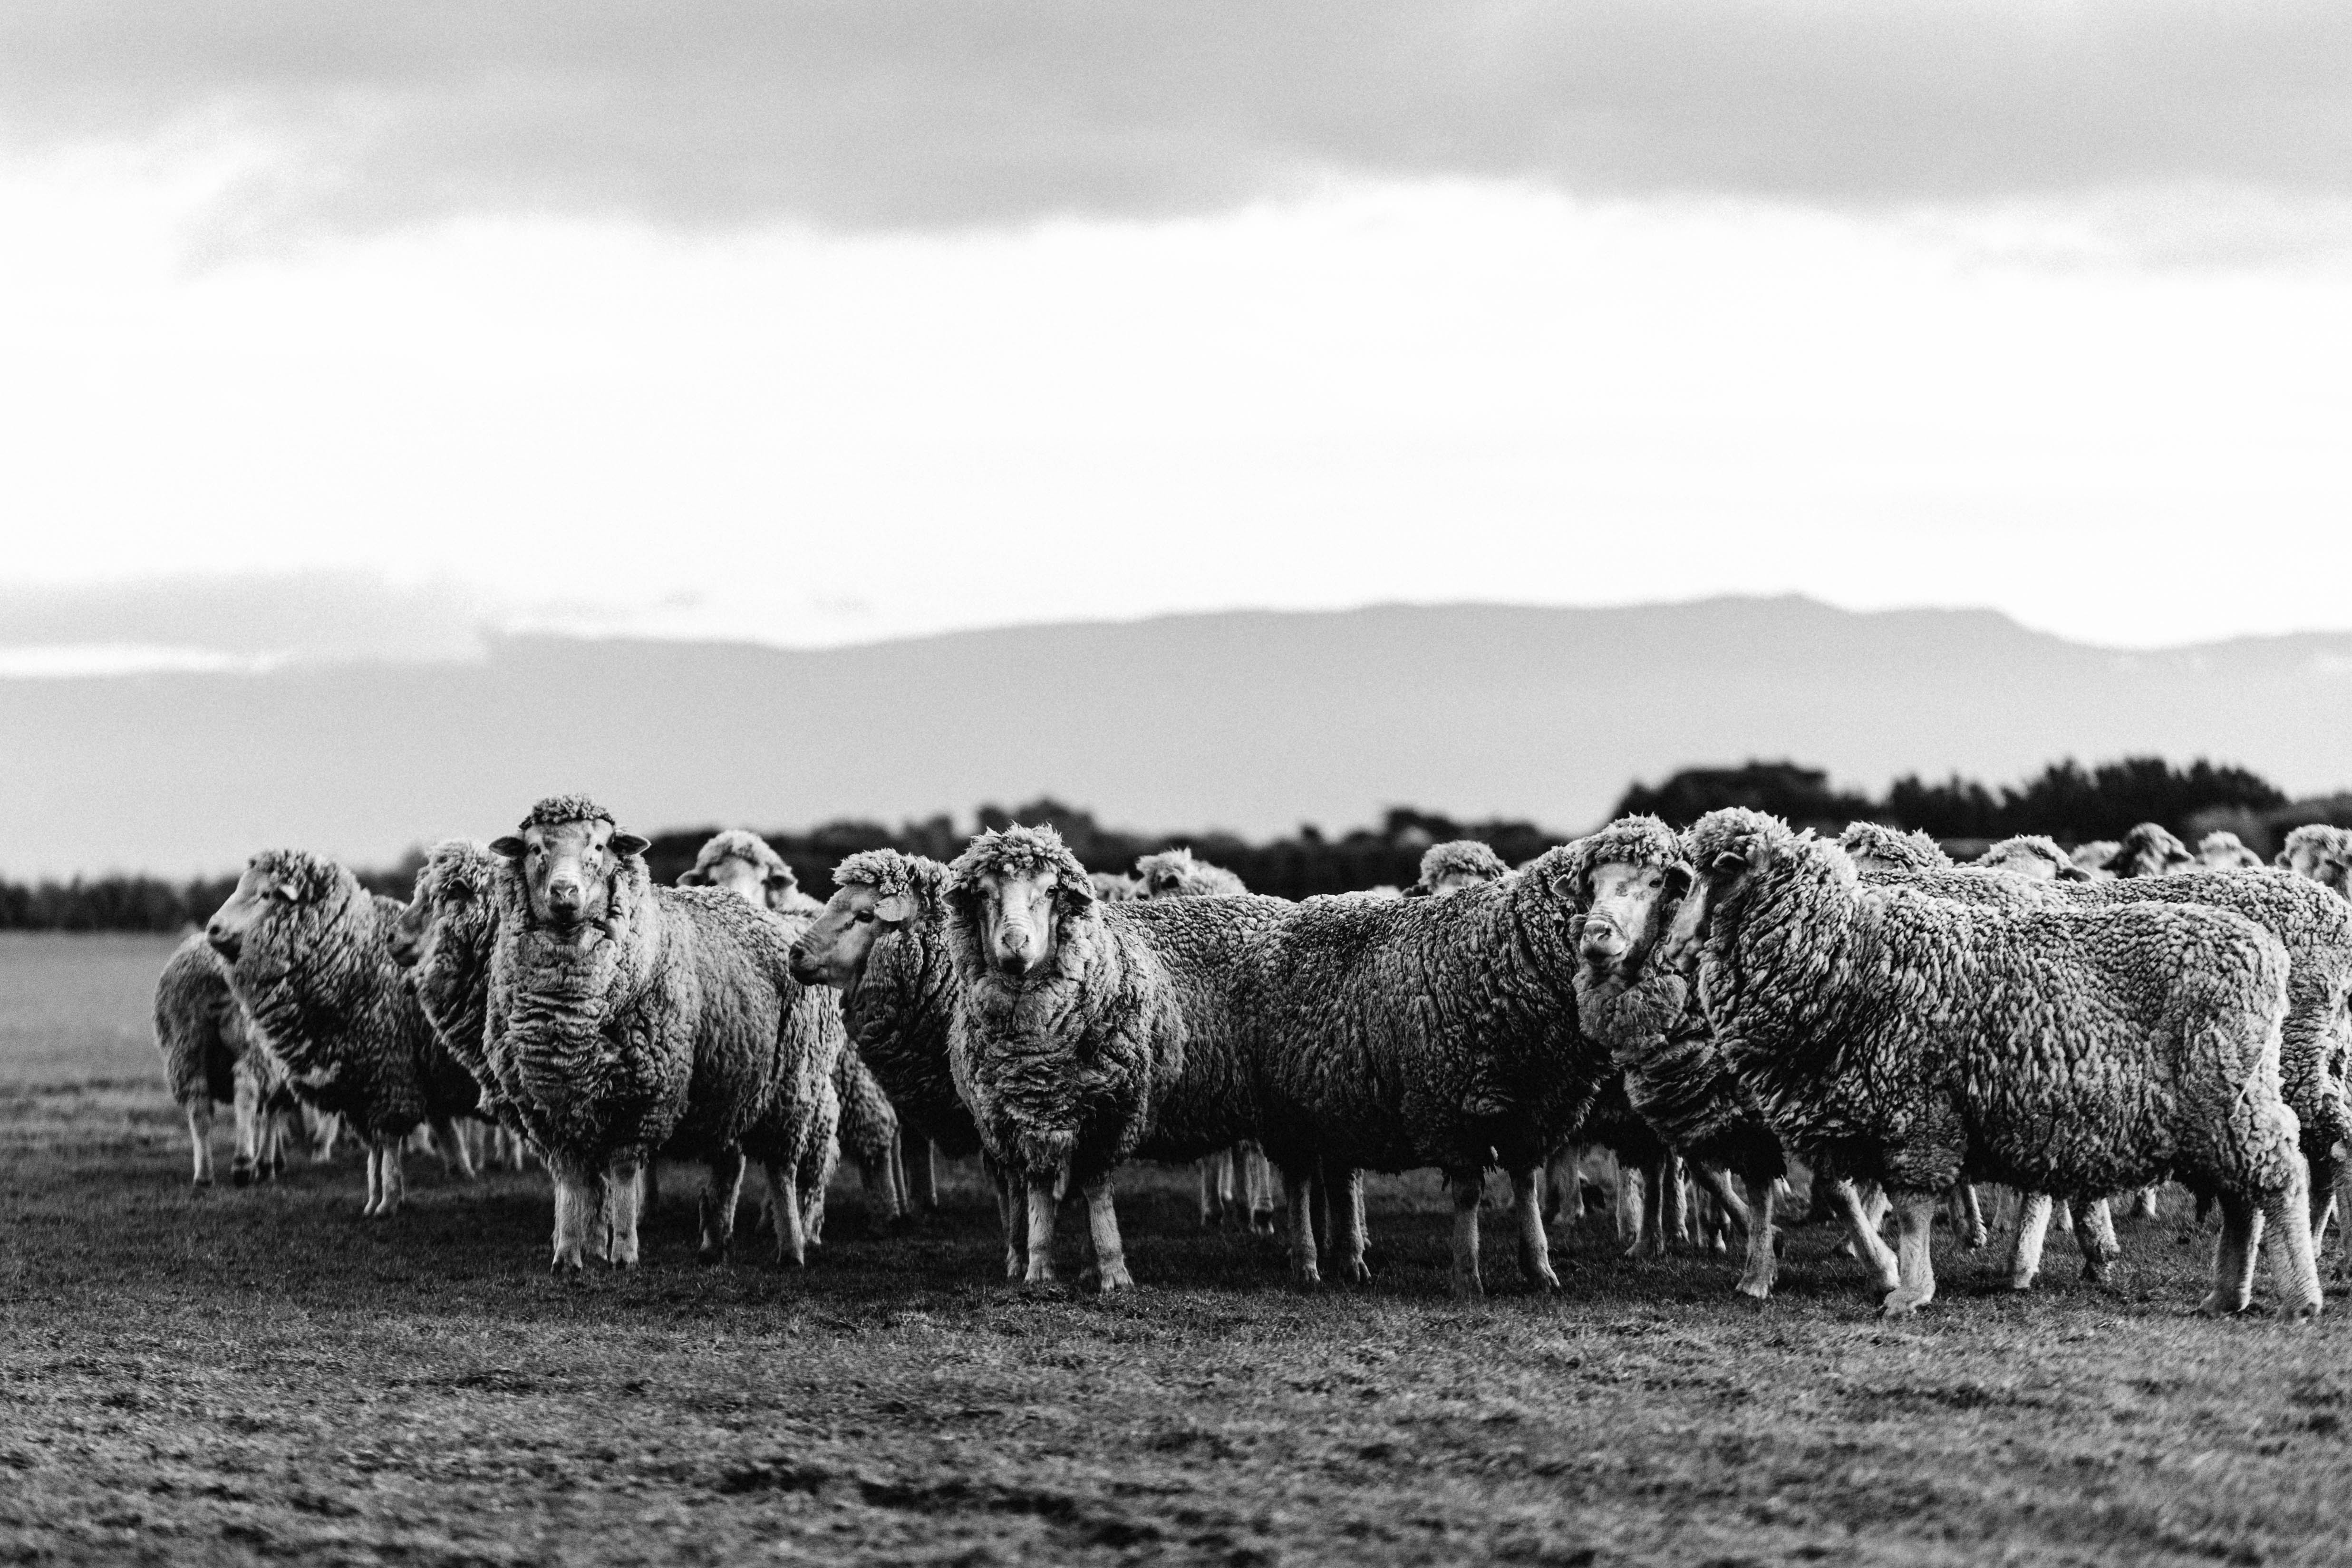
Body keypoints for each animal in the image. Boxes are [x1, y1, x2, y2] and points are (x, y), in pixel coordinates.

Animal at [205, 850, 484, 1215]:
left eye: (266, 894)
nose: (212, 929)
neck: (352, 957)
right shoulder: (359, 1085)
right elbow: (375, 1148)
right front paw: (375, 1200)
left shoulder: (389, 1074)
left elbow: (388, 1142)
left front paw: (389, 1202)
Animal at [483, 795, 841, 1270]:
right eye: (535, 848)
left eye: (599, 846)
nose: (564, 893)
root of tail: (760, 912)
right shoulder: (547, 1107)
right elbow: (571, 1177)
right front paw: (567, 1255)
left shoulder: (644, 1096)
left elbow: (621, 1171)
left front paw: (623, 1251)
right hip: (727, 1084)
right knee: (728, 1161)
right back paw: (714, 1244)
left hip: (790, 1087)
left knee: (781, 1169)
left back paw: (792, 1248)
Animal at [944, 825, 1292, 1292]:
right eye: (982, 893)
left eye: (1051, 890)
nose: (1016, 944)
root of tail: (1264, 900)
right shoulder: (1022, 1117)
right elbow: (1038, 1187)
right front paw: (1040, 1267)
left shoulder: (1109, 1109)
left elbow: (1094, 1188)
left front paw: (1111, 1269)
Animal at [1246, 843, 1620, 1297]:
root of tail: (1308, 906)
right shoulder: (1450, 1110)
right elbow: (1468, 1192)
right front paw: (1467, 1276)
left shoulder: (1533, 1107)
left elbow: (1525, 1183)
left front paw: (1539, 1269)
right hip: (1287, 1111)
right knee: (1299, 1180)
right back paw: (1306, 1262)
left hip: (1340, 1101)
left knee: (1339, 1177)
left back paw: (1350, 1259)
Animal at [1672, 808, 2320, 1318]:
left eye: (1724, 867)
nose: (1676, 945)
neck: (1848, 953)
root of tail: (2266, 949)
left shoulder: (1919, 1113)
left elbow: (1912, 1210)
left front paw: (1909, 1292)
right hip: (2220, 1111)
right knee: (2242, 1196)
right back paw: (2226, 1295)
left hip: (2229, 1094)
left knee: (2283, 1177)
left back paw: (2300, 1297)